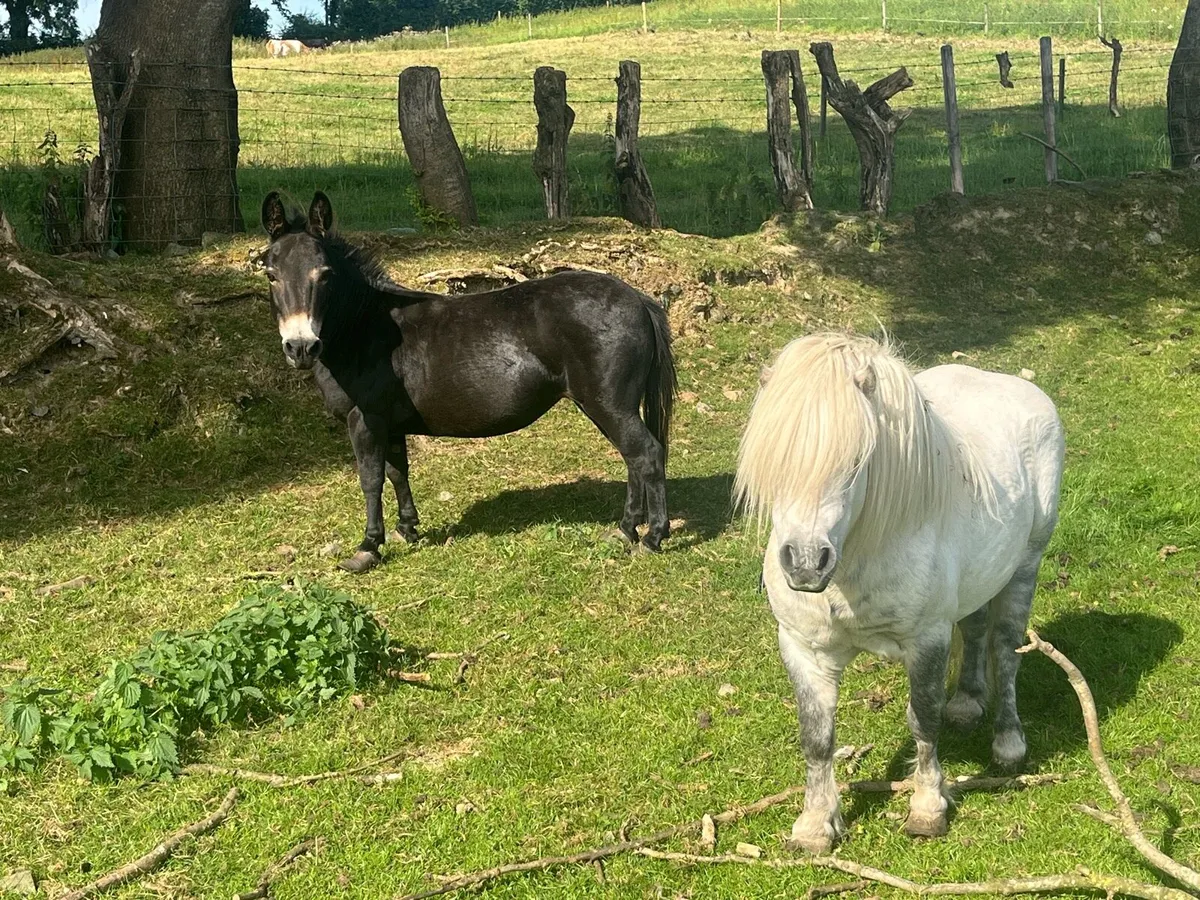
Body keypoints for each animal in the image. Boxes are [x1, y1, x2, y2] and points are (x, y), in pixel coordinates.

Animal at [261, 191, 677, 573]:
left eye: (324, 274)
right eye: (271, 274)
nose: (300, 347)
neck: (364, 329)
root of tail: (638, 299)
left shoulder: (364, 421)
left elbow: (371, 480)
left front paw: (368, 547)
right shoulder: (388, 424)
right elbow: (397, 473)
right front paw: (407, 529)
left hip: (609, 405)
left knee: (646, 454)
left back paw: (652, 537)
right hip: (604, 407)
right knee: (632, 458)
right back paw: (625, 530)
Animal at [734, 332, 1064, 853]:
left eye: (856, 460)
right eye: (774, 460)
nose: (805, 563)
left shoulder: (926, 641)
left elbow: (923, 720)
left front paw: (927, 809)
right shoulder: (804, 649)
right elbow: (817, 736)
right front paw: (815, 825)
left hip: (1026, 566)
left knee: (1005, 649)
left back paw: (1008, 743)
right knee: (975, 630)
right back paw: (966, 704)